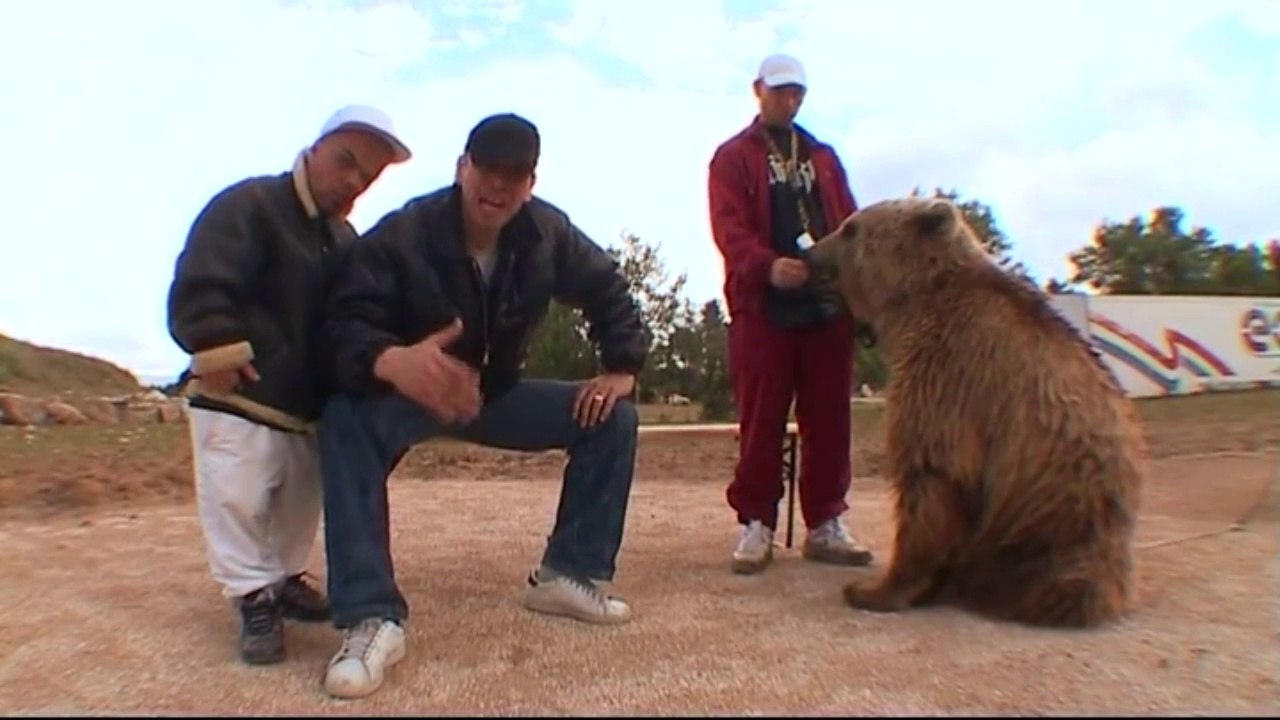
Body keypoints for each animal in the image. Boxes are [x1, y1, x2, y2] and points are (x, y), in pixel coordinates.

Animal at [804, 196, 1148, 629]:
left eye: (850, 228)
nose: (810, 253)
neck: (915, 303)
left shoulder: (948, 375)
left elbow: (932, 474)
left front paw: (872, 590)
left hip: (1044, 515)